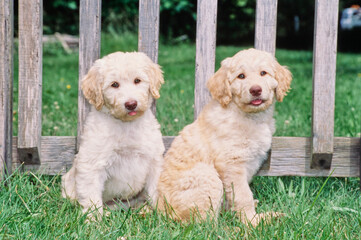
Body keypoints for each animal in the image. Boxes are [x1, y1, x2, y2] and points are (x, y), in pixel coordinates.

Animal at [61, 52, 165, 218]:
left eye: (137, 80)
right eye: (114, 84)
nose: (131, 104)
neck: (126, 125)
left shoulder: (154, 161)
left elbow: (156, 189)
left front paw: (162, 214)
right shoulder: (92, 164)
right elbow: (91, 196)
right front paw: (93, 219)